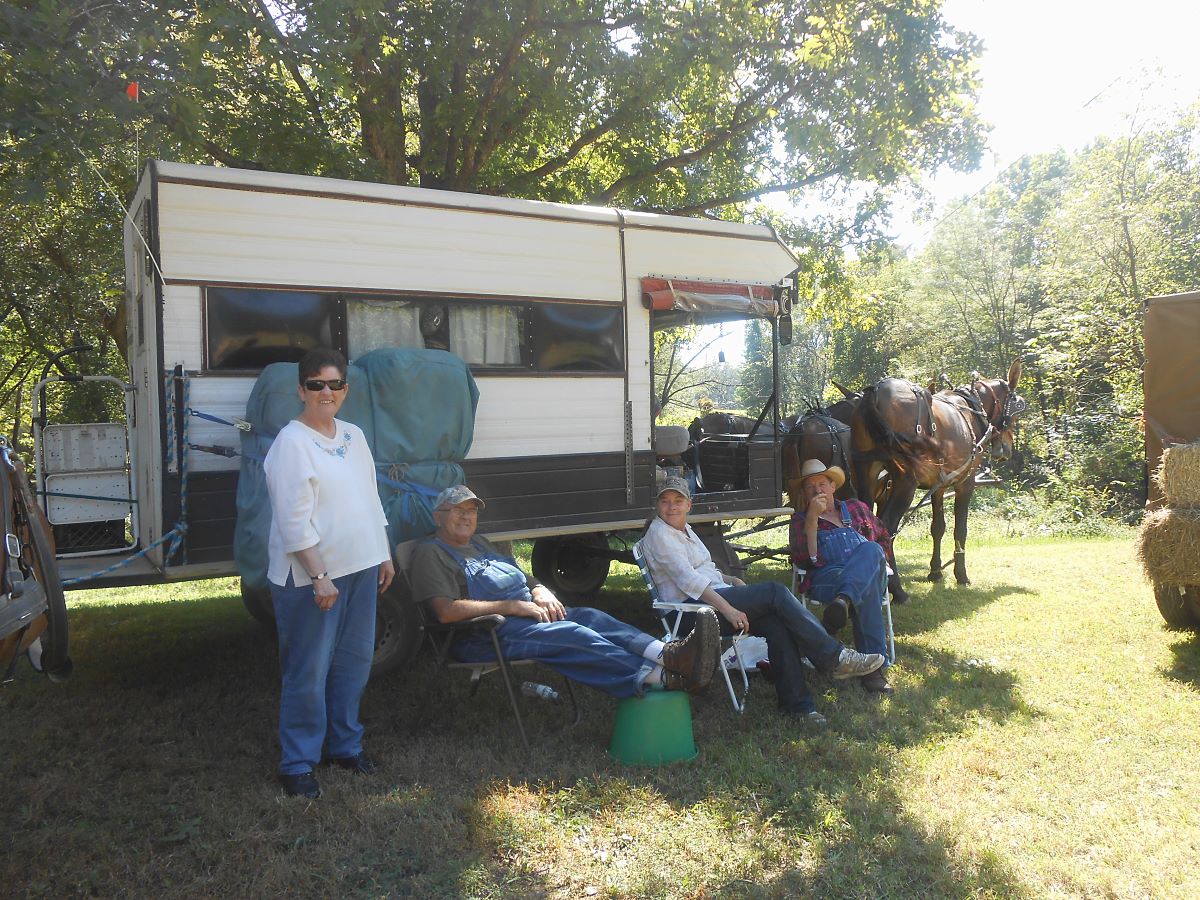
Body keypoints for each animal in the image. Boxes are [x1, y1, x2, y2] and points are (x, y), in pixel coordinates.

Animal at [849, 360, 1026, 586]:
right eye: (1017, 410)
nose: (1006, 449)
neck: (973, 410)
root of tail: (876, 393)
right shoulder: (965, 483)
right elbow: (960, 529)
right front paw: (961, 574)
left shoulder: (939, 486)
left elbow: (938, 527)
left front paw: (935, 570)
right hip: (906, 481)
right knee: (886, 527)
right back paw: (894, 584)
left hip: (865, 472)